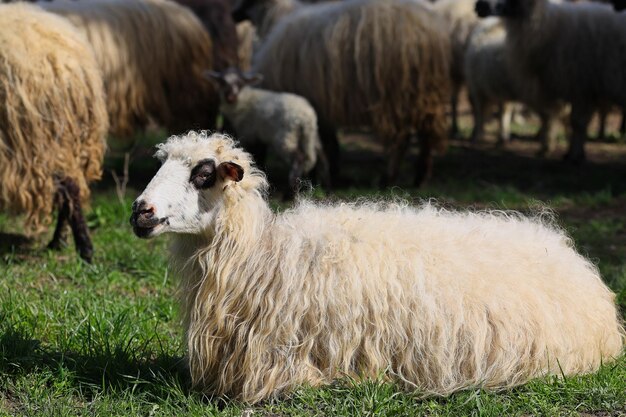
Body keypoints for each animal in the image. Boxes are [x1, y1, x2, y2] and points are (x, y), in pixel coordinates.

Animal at [0, 3, 107, 262]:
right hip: (65, 141)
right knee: (70, 190)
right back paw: (61, 241)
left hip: (38, 140)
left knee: (68, 188)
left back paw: (83, 249)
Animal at [206, 67, 332, 197]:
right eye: (222, 82)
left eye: (240, 83)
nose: (230, 97)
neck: (244, 99)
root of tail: (306, 117)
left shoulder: (249, 134)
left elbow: (255, 155)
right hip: (312, 135)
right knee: (323, 157)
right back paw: (327, 189)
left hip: (286, 136)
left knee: (299, 158)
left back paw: (292, 193)